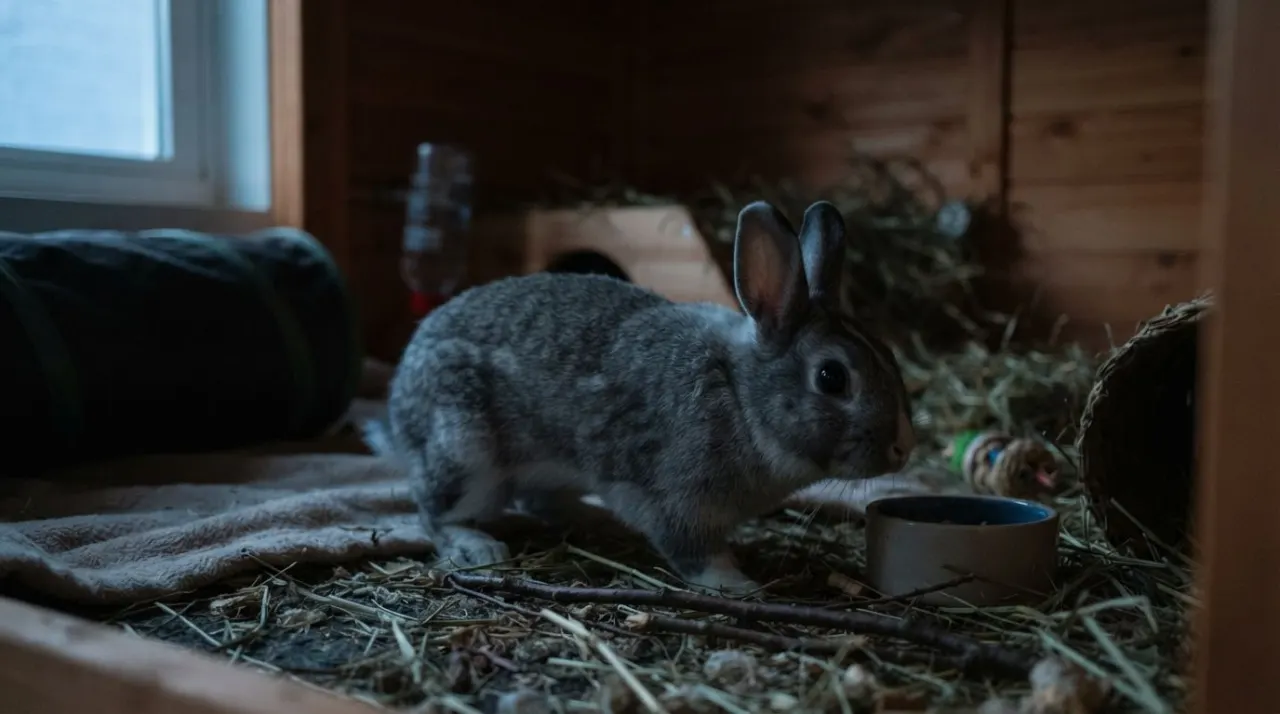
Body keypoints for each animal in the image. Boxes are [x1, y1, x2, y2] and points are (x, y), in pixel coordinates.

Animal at [367, 199, 916, 594]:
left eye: (890, 355)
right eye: (831, 377)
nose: (903, 447)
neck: (742, 398)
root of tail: (399, 411)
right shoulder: (678, 497)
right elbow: (694, 551)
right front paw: (736, 583)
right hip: (465, 448)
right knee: (435, 512)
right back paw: (478, 547)